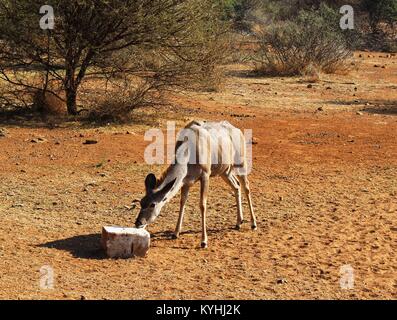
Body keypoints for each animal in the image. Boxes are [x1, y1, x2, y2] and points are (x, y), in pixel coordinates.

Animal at [134, 120, 256, 248]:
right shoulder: (186, 182)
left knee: (246, 187)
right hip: (225, 172)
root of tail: (237, 130)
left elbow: (202, 204)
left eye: (152, 204)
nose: (138, 222)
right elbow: (182, 202)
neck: (189, 149)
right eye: (141, 202)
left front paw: (204, 241)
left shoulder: (205, 175)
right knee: (236, 186)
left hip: (241, 165)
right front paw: (175, 233)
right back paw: (238, 222)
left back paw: (253, 224)